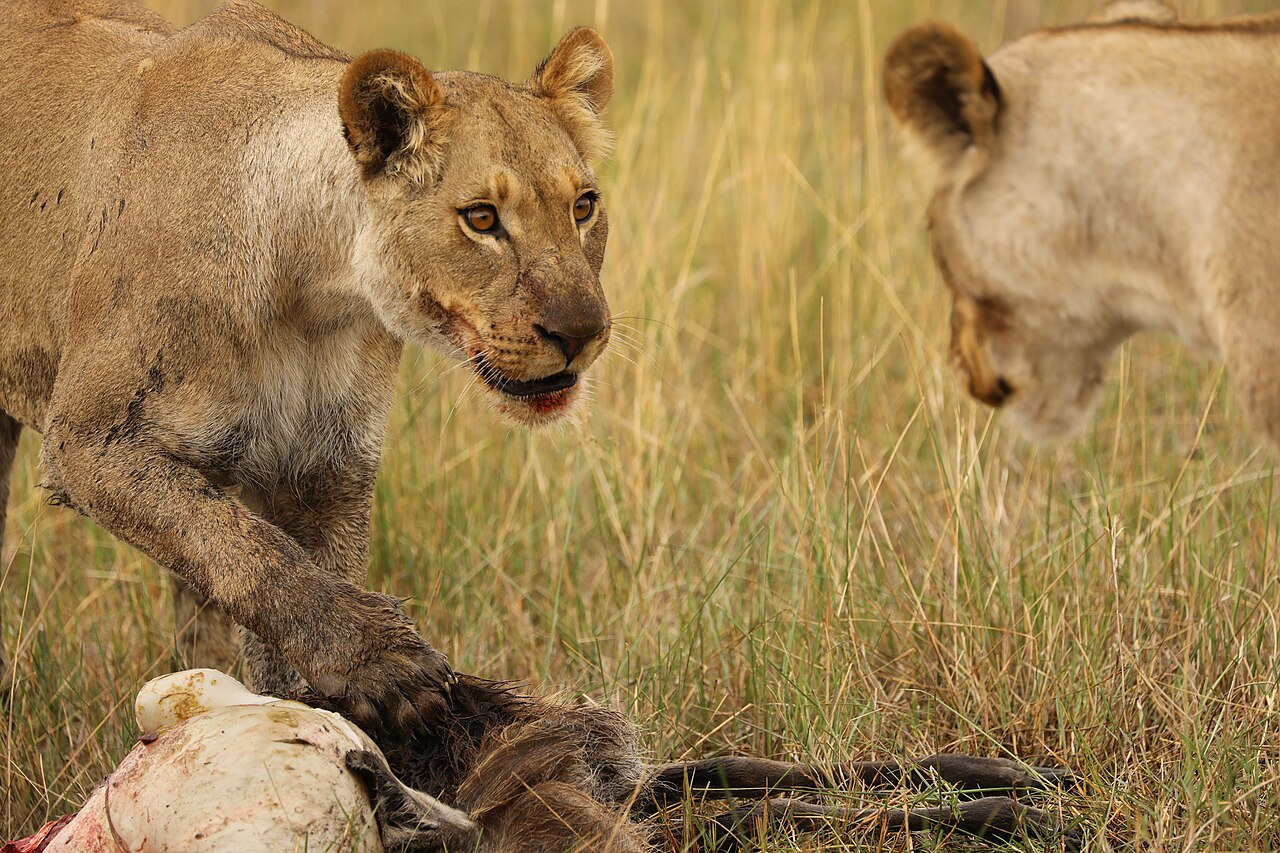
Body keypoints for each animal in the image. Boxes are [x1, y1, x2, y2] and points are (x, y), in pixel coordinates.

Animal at [0, 0, 614, 728]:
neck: (315, 292)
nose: (584, 331)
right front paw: (383, 661)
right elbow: (249, 552)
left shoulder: (327, 469)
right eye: (482, 218)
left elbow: (280, 607)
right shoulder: (89, 441)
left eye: (583, 207)